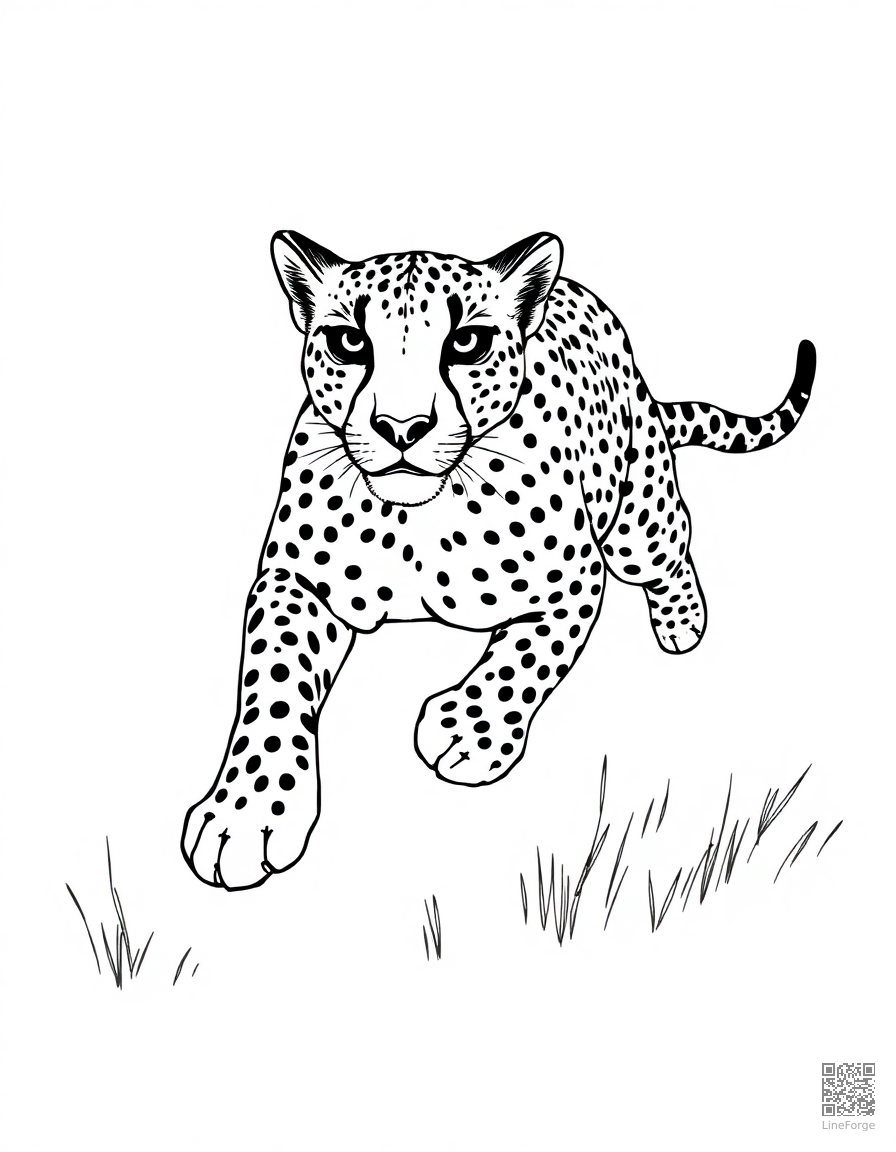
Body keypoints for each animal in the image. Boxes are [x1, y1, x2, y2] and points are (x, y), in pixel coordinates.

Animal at [181, 230, 815, 890]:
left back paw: (681, 624)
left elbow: (526, 659)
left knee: (669, 543)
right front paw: (245, 814)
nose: (401, 427)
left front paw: (466, 731)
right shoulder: (295, 581)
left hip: (636, 515)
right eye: (349, 342)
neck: (413, 521)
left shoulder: (573, 581)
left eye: (467, 343)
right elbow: (272, 690)